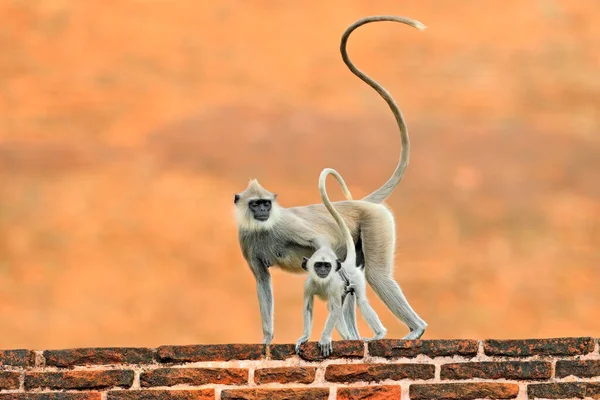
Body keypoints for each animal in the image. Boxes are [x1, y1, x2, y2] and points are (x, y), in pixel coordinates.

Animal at [296, 167, 390, 354]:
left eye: (327, 266)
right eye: (318, 266)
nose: (323, 271)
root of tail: (347, 264)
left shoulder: (333, 285)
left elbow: (335, 309)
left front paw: (325, 339)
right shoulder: (308, 285)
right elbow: (308, 308)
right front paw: (304, 337)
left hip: (356, 280)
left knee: (359, 302)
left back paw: (378, 334)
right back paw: (348, 338)